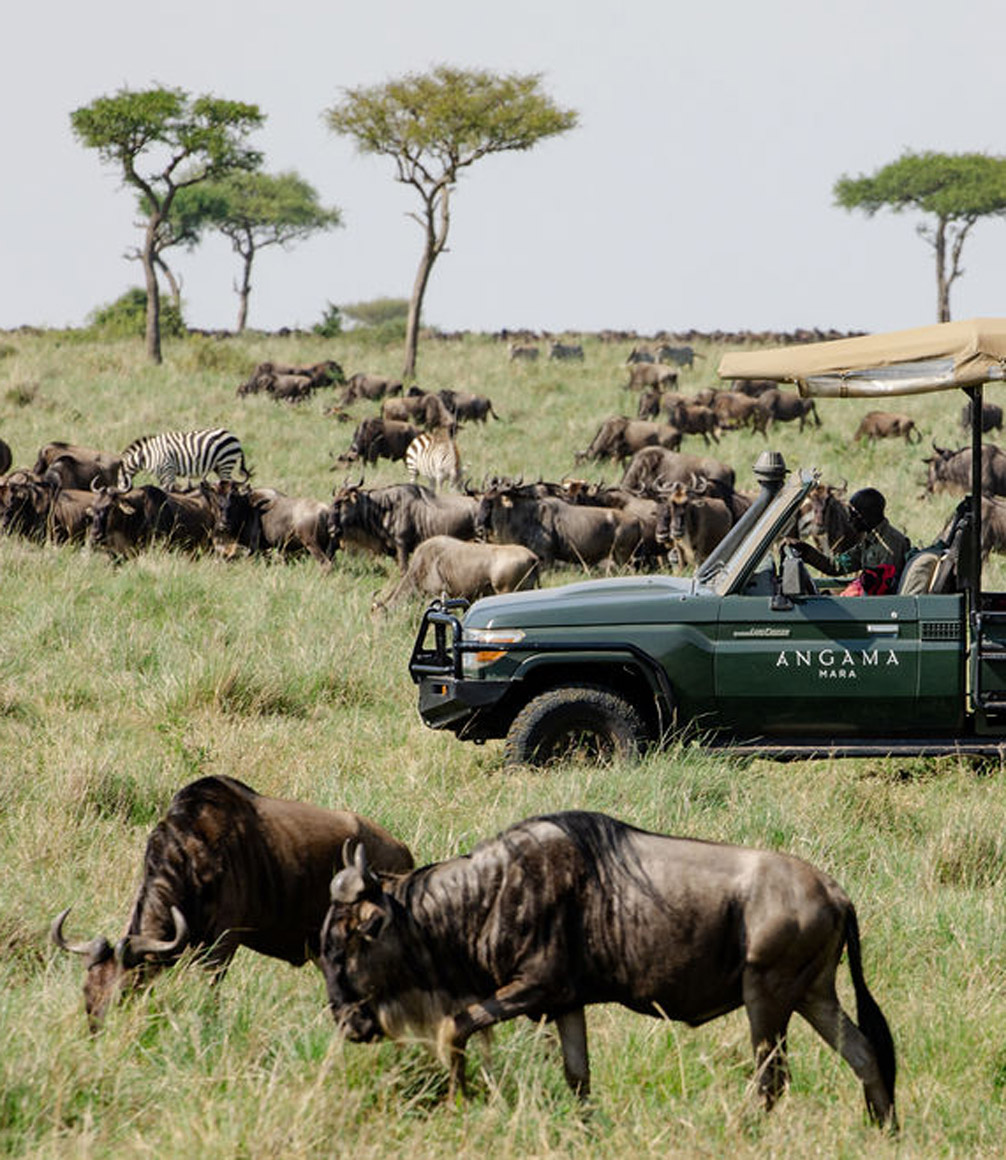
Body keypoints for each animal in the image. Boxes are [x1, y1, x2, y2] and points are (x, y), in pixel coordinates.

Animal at [117, 431, 251, 494]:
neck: (147, 456)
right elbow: (163, 489)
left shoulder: (168, 469)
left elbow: (168, 491)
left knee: (228, 483)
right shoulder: (161, 474)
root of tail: (234, 437)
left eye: (118, 480)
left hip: (226, 462)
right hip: (219, 466)